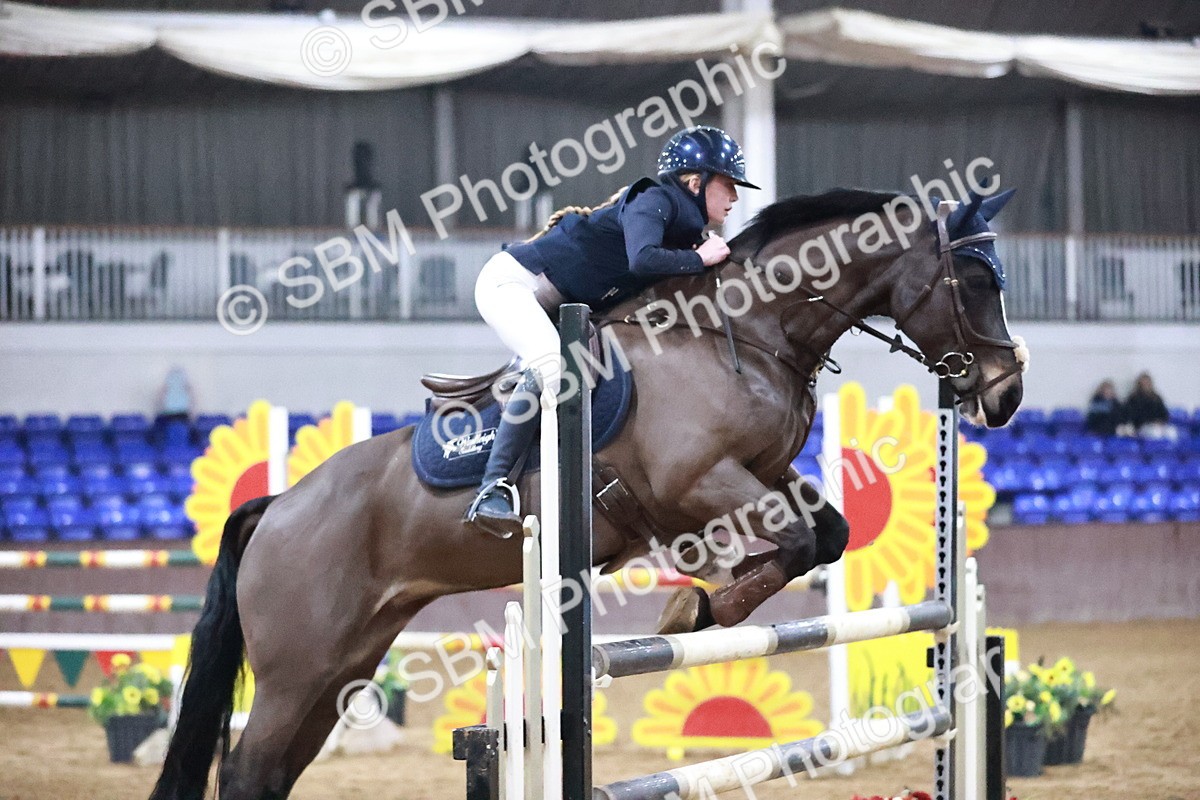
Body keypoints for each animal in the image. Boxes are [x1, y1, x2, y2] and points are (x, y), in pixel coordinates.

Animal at [149, 187, 1026, 800]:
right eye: (973, 278)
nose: (1007, 393)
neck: (745, 332)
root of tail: (278, 509)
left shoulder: (765, 475)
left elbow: (829, 534)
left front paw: (703, 599)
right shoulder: (700, 481)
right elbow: (799, 542)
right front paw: (698, 607)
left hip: (341, 665)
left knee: (270, 772)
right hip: (297, 668)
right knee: (248, 768)